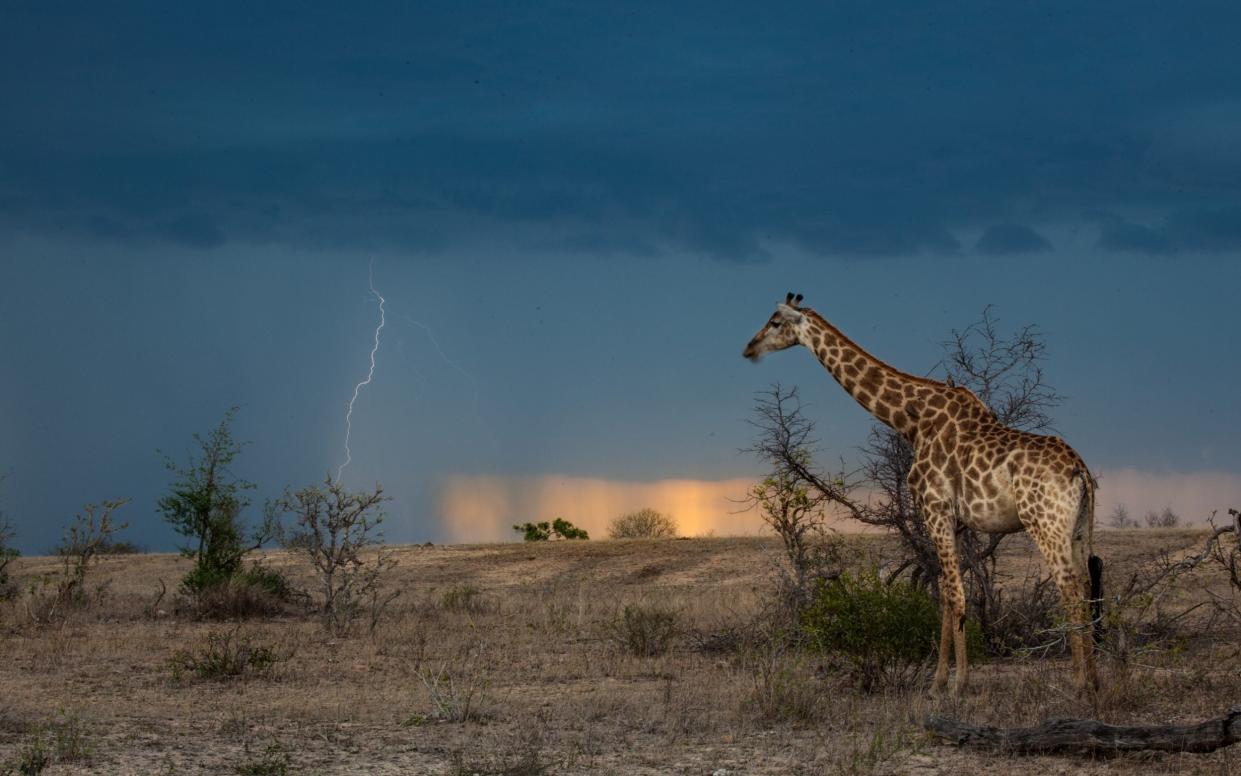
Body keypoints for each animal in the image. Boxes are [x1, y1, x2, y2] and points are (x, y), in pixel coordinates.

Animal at [739, 293, 1102, 695]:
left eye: (774, 322)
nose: (749, 348)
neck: (911, 423)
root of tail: (1080, 471)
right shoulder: (955, 521)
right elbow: (945, 592)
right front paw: (940, 680)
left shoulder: (935, 509)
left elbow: (955, 593)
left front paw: (957, 684)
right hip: (1079, 526)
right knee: (1086, 583)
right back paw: (1094, 679)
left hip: (1044, 522)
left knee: (1069, 587)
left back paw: (1079, 682)